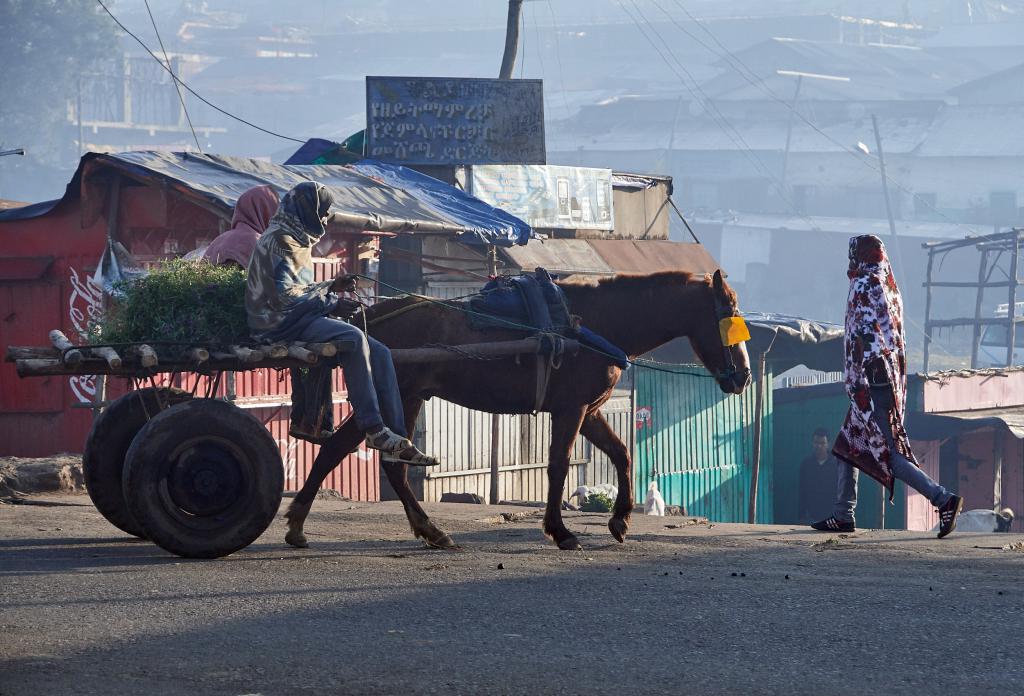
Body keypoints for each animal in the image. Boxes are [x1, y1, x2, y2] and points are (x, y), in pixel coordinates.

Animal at [284, 268, 749, 552]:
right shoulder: (572, 409)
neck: (588, 323)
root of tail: (372, 319)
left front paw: (618, 521)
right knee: (352, 453)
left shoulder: (590, 411)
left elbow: (622, 455)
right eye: (729, 315)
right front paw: (561, 531)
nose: (743, 376)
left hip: (407, 395)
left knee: (363, 457)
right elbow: (558, 467)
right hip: (400, 392)